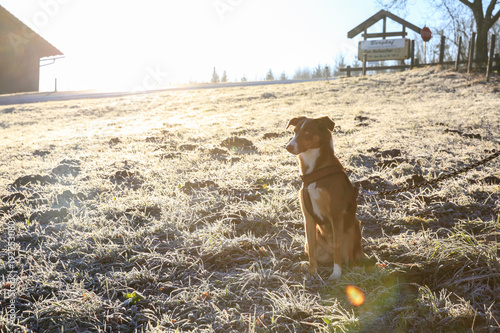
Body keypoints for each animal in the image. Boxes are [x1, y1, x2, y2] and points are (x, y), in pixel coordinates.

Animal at [286, 114, 364, 278]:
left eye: (307, 132)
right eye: (295, 132)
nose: (288, 147)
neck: (315, 172)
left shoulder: (336, 215)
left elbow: (337, 249)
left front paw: (336, 274)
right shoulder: (308, 218)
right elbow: (312, 253)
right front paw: (312, 274)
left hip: (354, 227)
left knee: (348, 257)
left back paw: (354, 268)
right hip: (311, 241)